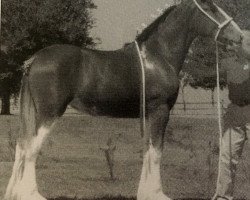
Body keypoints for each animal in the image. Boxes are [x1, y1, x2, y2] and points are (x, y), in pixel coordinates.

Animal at [3, 0, 242, 200]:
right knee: (31, 149)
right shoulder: (161, 110)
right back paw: (31, 194)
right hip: (49, 113)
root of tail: (35, 59)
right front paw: (157, 194)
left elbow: (148, 151)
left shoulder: (148, 114)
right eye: (211, 7)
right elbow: (157, 152)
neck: (157, 57)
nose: (239, 36)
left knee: (22, 146)